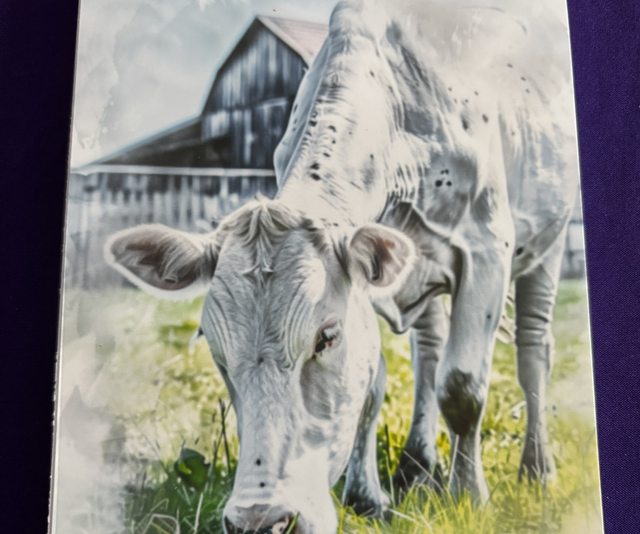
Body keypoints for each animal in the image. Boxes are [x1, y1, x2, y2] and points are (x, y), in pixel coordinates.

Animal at [105, 1, 578, 533]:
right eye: (215, 348)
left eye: (325, 337)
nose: (259, 521)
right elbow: (373, 385)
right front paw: (367, 498)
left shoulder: (486, 248)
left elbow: (462, 387)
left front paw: (471, 497)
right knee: (429, 351)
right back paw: (416, 466)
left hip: (548, 241)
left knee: (533, 351)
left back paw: (536, 469)